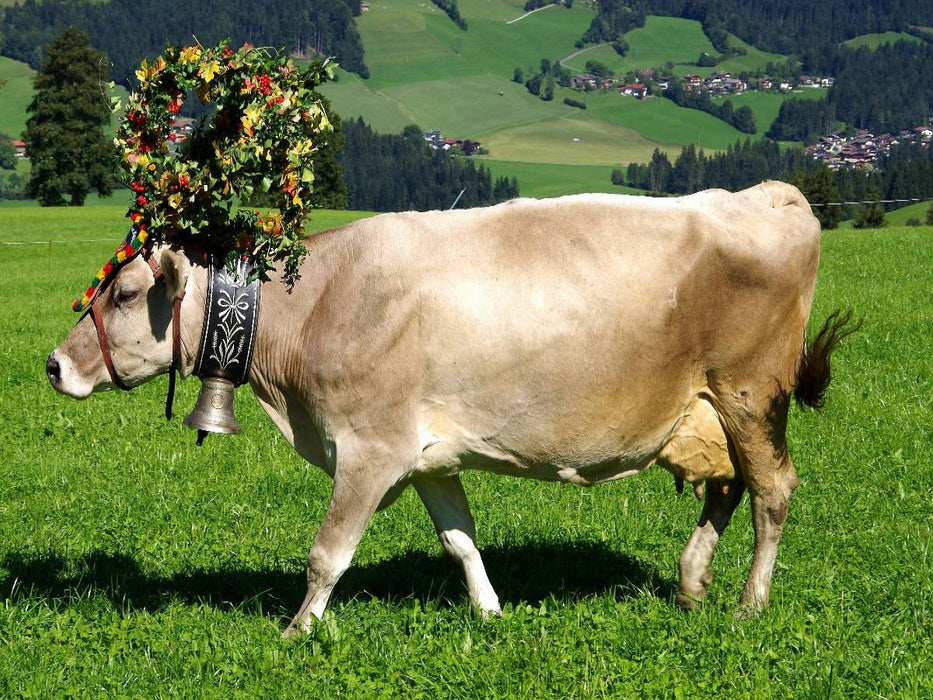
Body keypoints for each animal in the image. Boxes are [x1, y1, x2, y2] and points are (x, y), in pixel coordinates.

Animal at [46, 182, 855, 636]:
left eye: (125, 294)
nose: (55, 364)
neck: (310, 306)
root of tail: (766, 195)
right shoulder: (428, 455)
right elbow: (461, 540)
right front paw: (490, 612)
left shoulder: (370, 448)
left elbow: (327, 553)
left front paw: (296, 633)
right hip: (708, 408)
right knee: (727, 486)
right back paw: (690, 586)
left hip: (751, 394)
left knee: (773, 490)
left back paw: (749, 605)